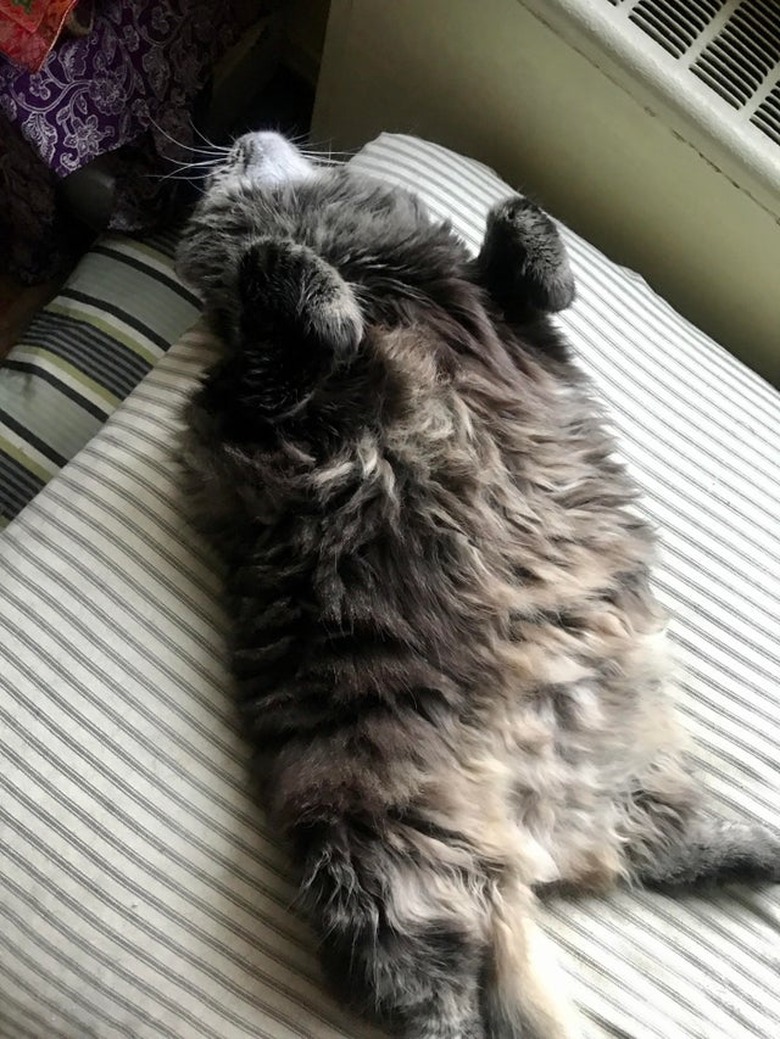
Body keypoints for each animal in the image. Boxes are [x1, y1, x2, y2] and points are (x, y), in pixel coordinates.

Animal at [175, 129, 780, 1039]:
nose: (241, 137)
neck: (355, 251)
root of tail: (539, 838)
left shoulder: (518, 319)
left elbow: (523, 236)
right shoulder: (248, 409)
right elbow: (292, 312)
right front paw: (301, 281)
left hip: (630, 774)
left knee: (665, 849)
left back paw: (764, 851)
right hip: (384, 868)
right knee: (437, 999)